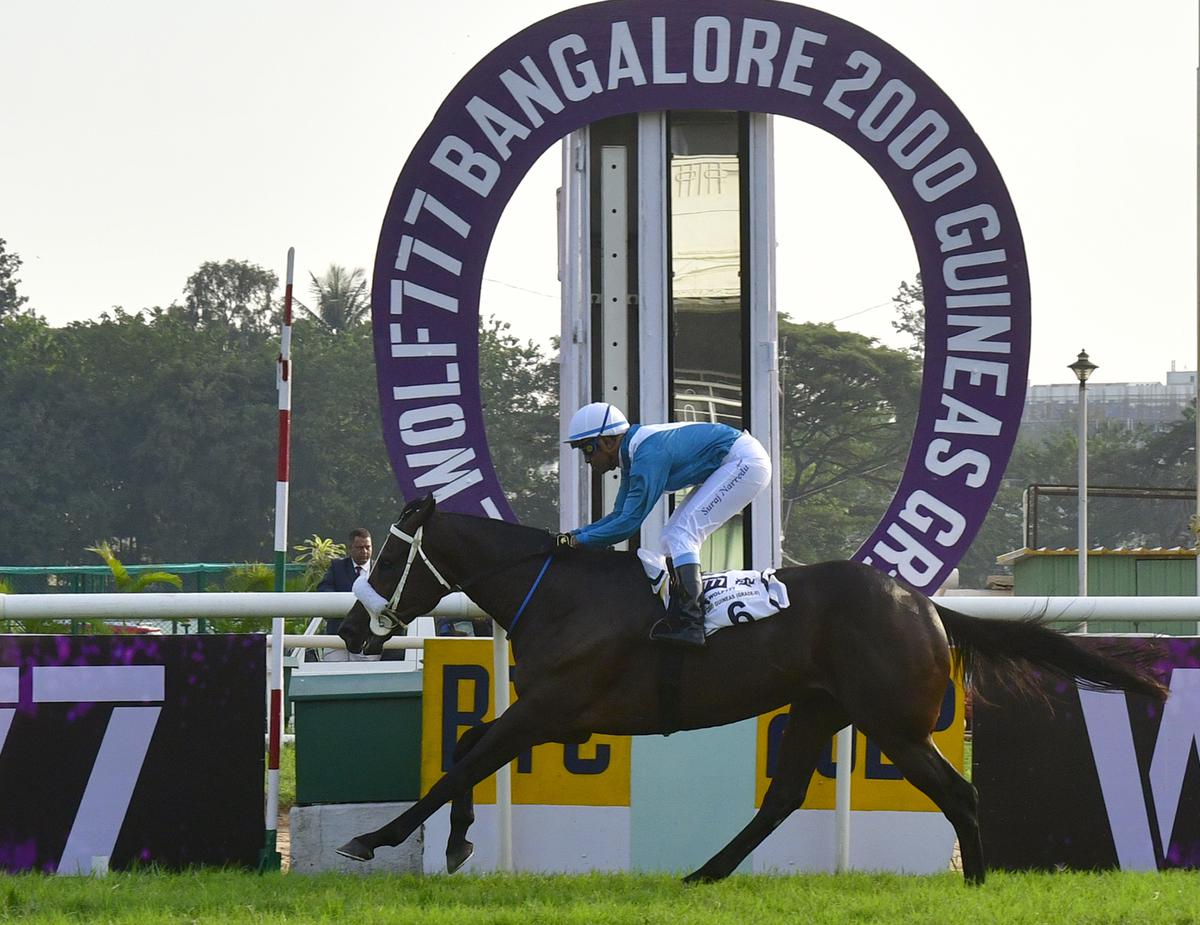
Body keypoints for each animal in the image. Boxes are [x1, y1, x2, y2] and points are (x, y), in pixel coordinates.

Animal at [333, 496, 1166, 887]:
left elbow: (464, 761)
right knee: (783, 796)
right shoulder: (552, 714)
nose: (348, 627)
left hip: (893, 725)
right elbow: (467, 748)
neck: (559, 593)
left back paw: (978, 881)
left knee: (958, 791)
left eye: (386, 563)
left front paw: (374, 837)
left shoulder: (554, 707)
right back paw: (704, 871)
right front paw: (457, 840)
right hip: (819, 707)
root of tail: (925, 604)